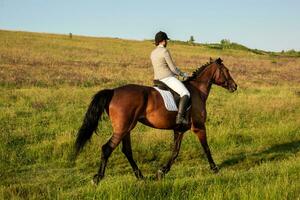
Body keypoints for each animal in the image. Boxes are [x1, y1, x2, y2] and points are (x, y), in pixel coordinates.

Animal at [74, 57, 237, 184]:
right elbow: (206, 148)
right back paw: (98, 178)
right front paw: (215, 168)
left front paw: (162, 171)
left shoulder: (179, 130)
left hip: (126, 128)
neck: (197, 91)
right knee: (107, 148)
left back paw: (140, 176)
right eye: (226, 71)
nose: (234, 86)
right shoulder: (199, 127)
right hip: (122, 129)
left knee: (126, 150)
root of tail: (113, 91)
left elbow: (175, 152)